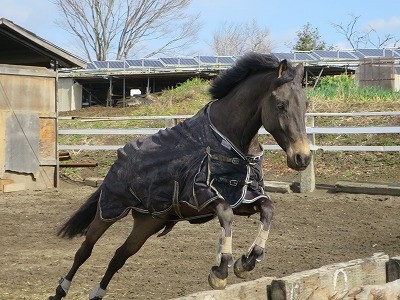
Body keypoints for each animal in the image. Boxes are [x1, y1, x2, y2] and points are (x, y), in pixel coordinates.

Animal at [49, 52, 312, 298]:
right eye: (281, 105)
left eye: (306, 104)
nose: (303, 157)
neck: (228, 140)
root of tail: (119, 159)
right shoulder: (202, 196)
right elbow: (226, 214)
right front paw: (221, 270)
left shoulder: (243, 196)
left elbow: (268, 209)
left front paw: (246, 261)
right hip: (109, 211)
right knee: (85, 249)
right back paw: (61, 289)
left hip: (148, 222)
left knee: (119, 255)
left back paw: (97, 293)